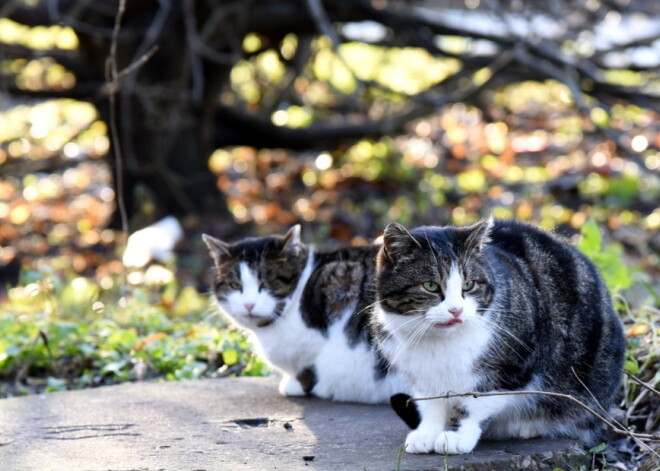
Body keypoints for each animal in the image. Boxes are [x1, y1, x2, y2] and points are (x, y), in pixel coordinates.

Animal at [372, 220, 624, 458]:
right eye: (431, 286)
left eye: (469, 285)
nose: (456, 310)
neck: (440, 342)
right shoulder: (419, 374)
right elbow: (431, 403)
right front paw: (426, 433)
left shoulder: (511, 366)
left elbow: (474, 400)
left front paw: (455, 435)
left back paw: (527, 426)